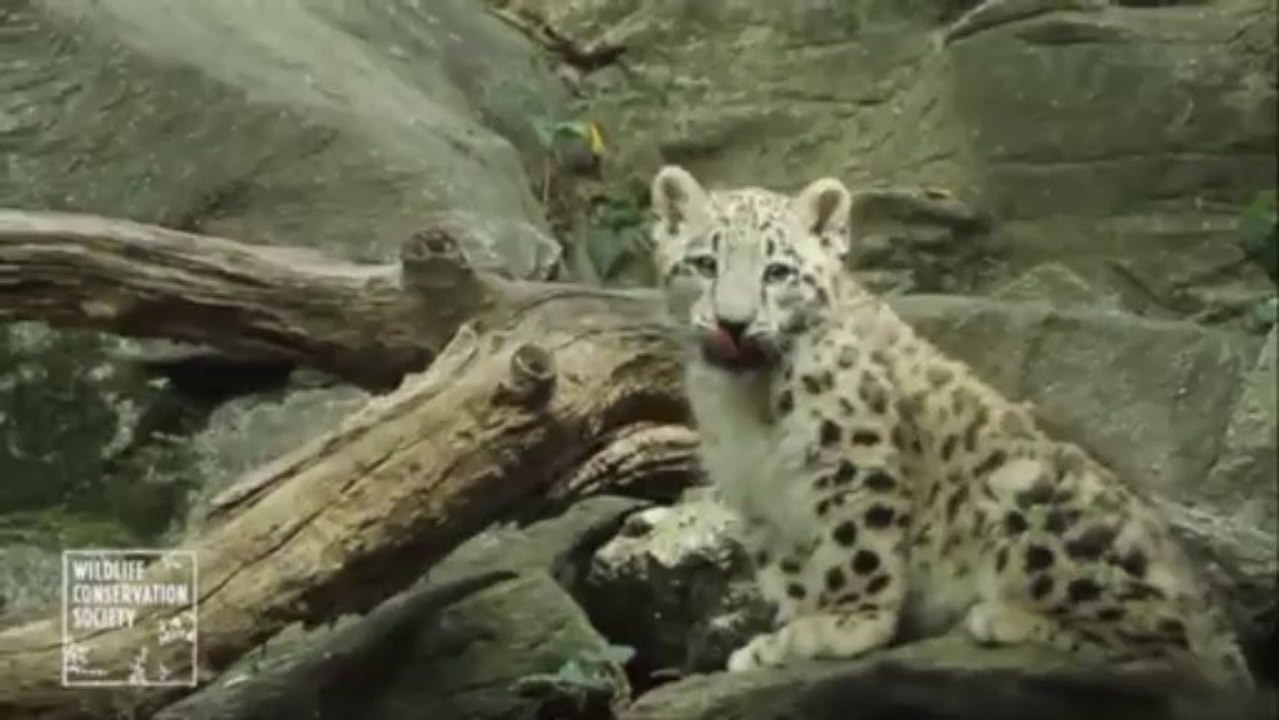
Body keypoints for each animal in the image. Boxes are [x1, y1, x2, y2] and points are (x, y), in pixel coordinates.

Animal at [647, 163, 1254, 689]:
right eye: (704, 263)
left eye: (777, 271)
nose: (733, 323)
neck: (747, 404)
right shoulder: (755, 497)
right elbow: (789, 573)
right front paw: (783, 637)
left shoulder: (855, 458)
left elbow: (852, 551)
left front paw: (843, 625)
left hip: (1033, 499)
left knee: (1169, 648)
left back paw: (1001, 618)